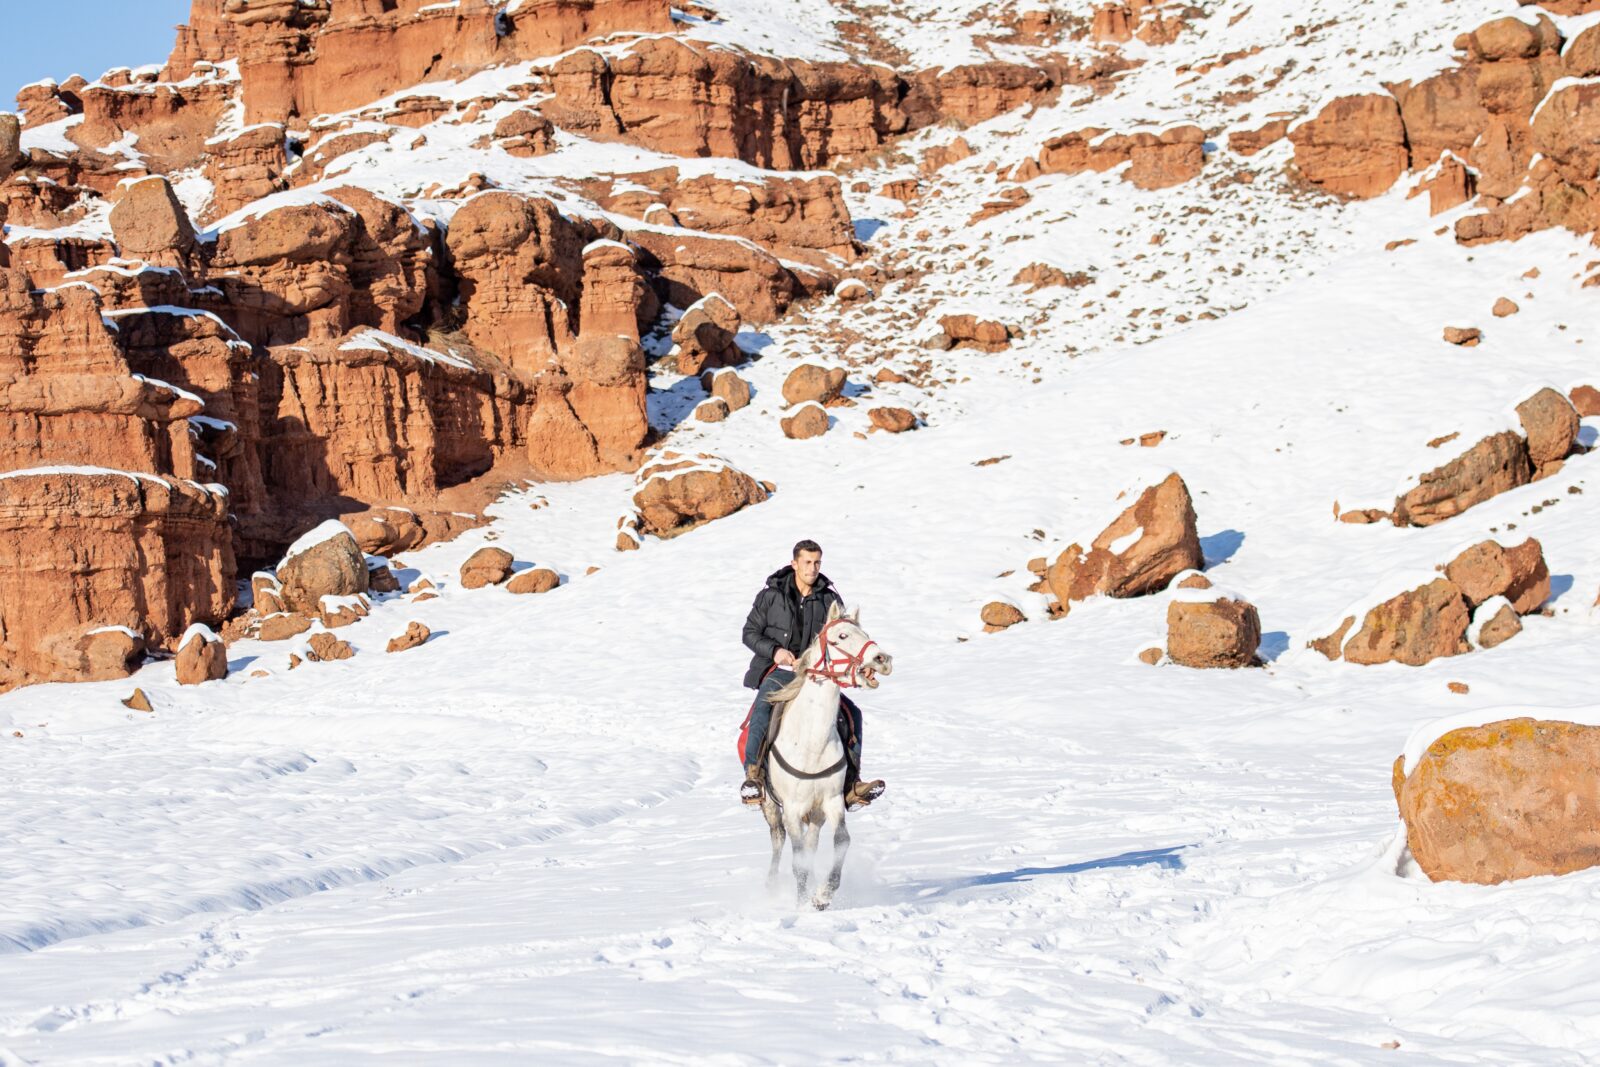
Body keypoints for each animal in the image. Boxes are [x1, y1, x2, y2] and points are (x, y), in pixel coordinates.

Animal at [758, 601, 896, 908]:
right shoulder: (792, 809)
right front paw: (801, 904)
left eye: (865, 632)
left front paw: (823, 894)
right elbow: (797, 861)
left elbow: (842, 841)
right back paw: (771, 886)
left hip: (816, 813)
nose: (883, 659)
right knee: (777, 839)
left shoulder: (831, 801)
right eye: (842, 636)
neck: (811, 743)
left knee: (810, 844)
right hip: (772, 806)